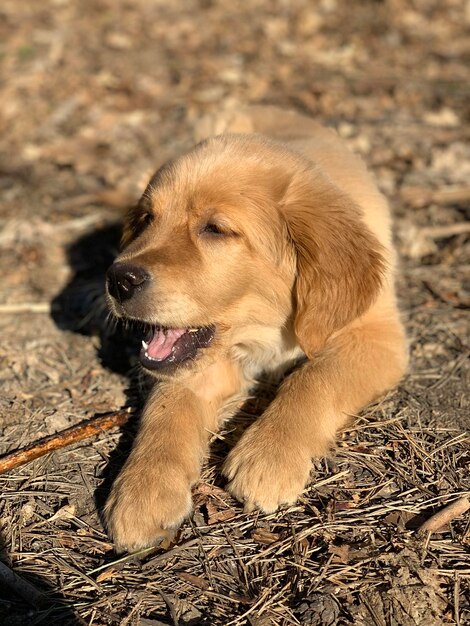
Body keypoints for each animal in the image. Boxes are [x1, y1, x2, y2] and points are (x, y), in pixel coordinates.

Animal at [103, 107, 408, 552]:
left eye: (214, 229)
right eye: (147, 219)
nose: (118, 280)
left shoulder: (376, 334)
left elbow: (315, 377)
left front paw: (269, 455)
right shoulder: (197, 362)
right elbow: (166, 407)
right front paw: (144, 488)